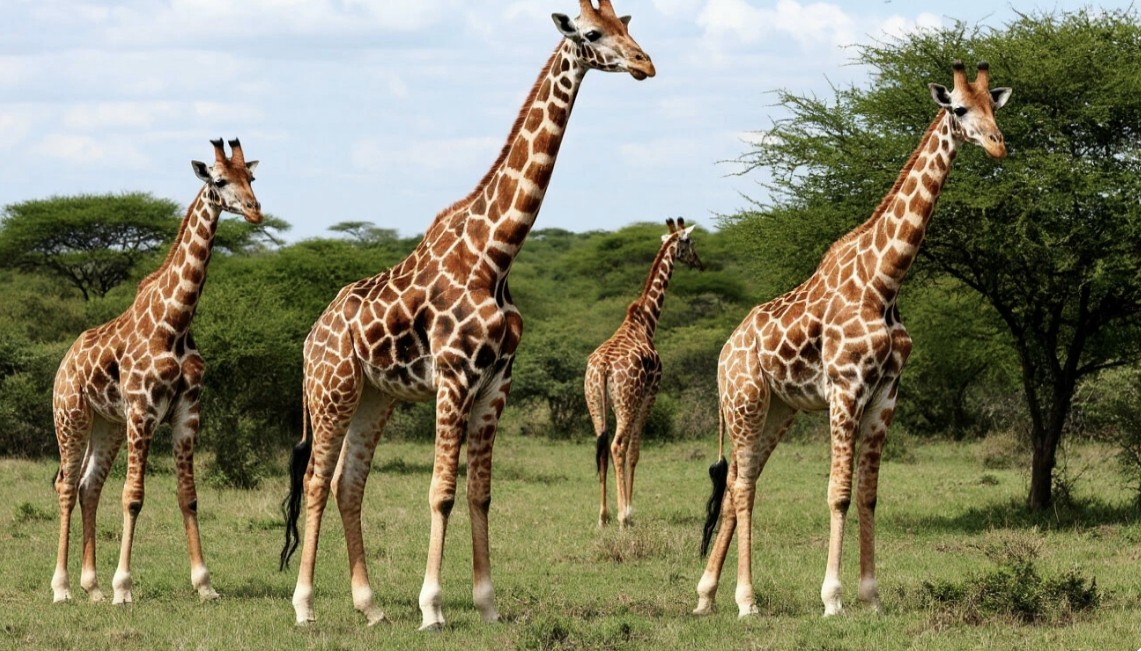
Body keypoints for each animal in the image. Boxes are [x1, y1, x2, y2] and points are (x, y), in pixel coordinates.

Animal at [50, 139, 261, 605]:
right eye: (220, 180)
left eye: (252, 177)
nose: (256, 210)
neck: (176, 323)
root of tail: (63, 363)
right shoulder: (143, 412)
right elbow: (133, 496)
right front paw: (123, 587)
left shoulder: (187, 414)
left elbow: (189, 496)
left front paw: (204, 584)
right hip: (71, 417)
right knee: (66, 486)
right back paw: (62, 588)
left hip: (108, 424)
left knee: (88, 487)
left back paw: (91, 587)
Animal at [278, 0, 655, 630]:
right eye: (593, 33)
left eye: (628, 26)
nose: (645, 63)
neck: (495, 254)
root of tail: (311, 337)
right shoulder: (455, 378)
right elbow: (442, 492)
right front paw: (432, 607)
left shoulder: (497, 381)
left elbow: (480, 492)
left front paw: (487, 603)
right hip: (333, 390)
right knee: (314, 478)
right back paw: (304, 605)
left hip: (375, 396)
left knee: (347, 483)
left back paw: (371, 606)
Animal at [586, 217, 703, 528]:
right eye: (690, 243)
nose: (700, 263)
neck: (645, 321)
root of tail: (603, 367)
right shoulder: (651, 393)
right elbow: (634, 451)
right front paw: (629, 510)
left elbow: (626, 450)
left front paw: (621, 509)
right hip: (625, 402)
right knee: (616, 446)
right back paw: (621, 517)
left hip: (595, 403)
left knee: (602, 447)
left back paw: (602, 516)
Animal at [693, 61, 1011, 618]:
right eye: (958, 108)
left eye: (994, 107)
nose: (997, 145)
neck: (885, 280)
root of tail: (725, 351)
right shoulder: (846, 388)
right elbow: (838, 492)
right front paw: (833, 599)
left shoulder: (886, 394)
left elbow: (868, 494)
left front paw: (872, 596)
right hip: (744, 401)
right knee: (745, 486)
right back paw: (746, 601)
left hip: (778, 410)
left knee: (735, 485)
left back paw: (708, 595)